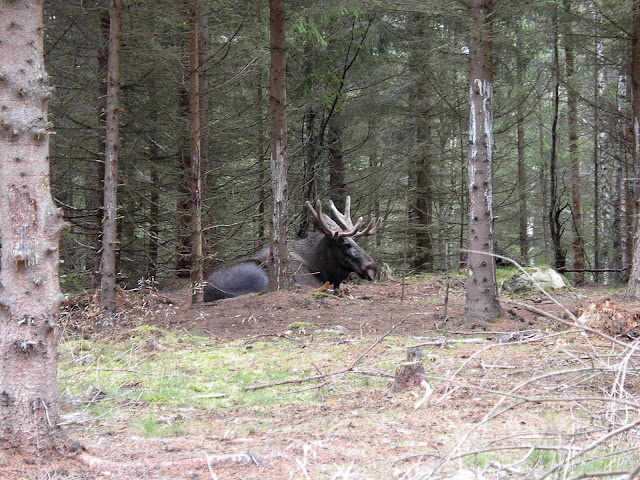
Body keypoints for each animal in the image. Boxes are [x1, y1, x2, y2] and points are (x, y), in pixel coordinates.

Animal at [205, 196, 382, 300]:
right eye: (345, 243)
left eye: (355, 241)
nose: (372, 267)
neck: (322, 268)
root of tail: (207, 292)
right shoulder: (311, 283)